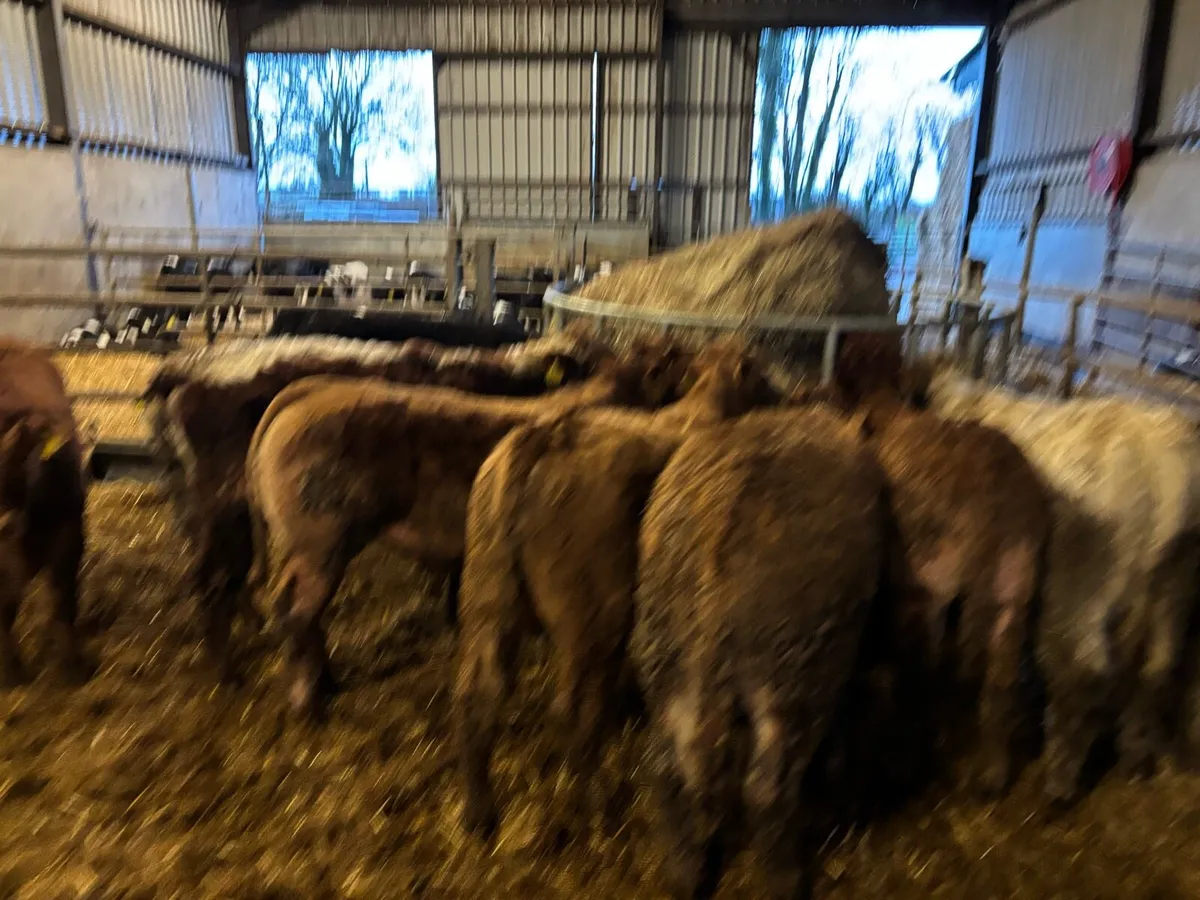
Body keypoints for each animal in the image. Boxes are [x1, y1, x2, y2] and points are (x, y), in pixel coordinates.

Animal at [0, 339, 88, 688]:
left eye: (18, 456)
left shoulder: (71, 533)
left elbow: (65, 598)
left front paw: (74, 664)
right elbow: (6, 606)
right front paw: (12, 670)